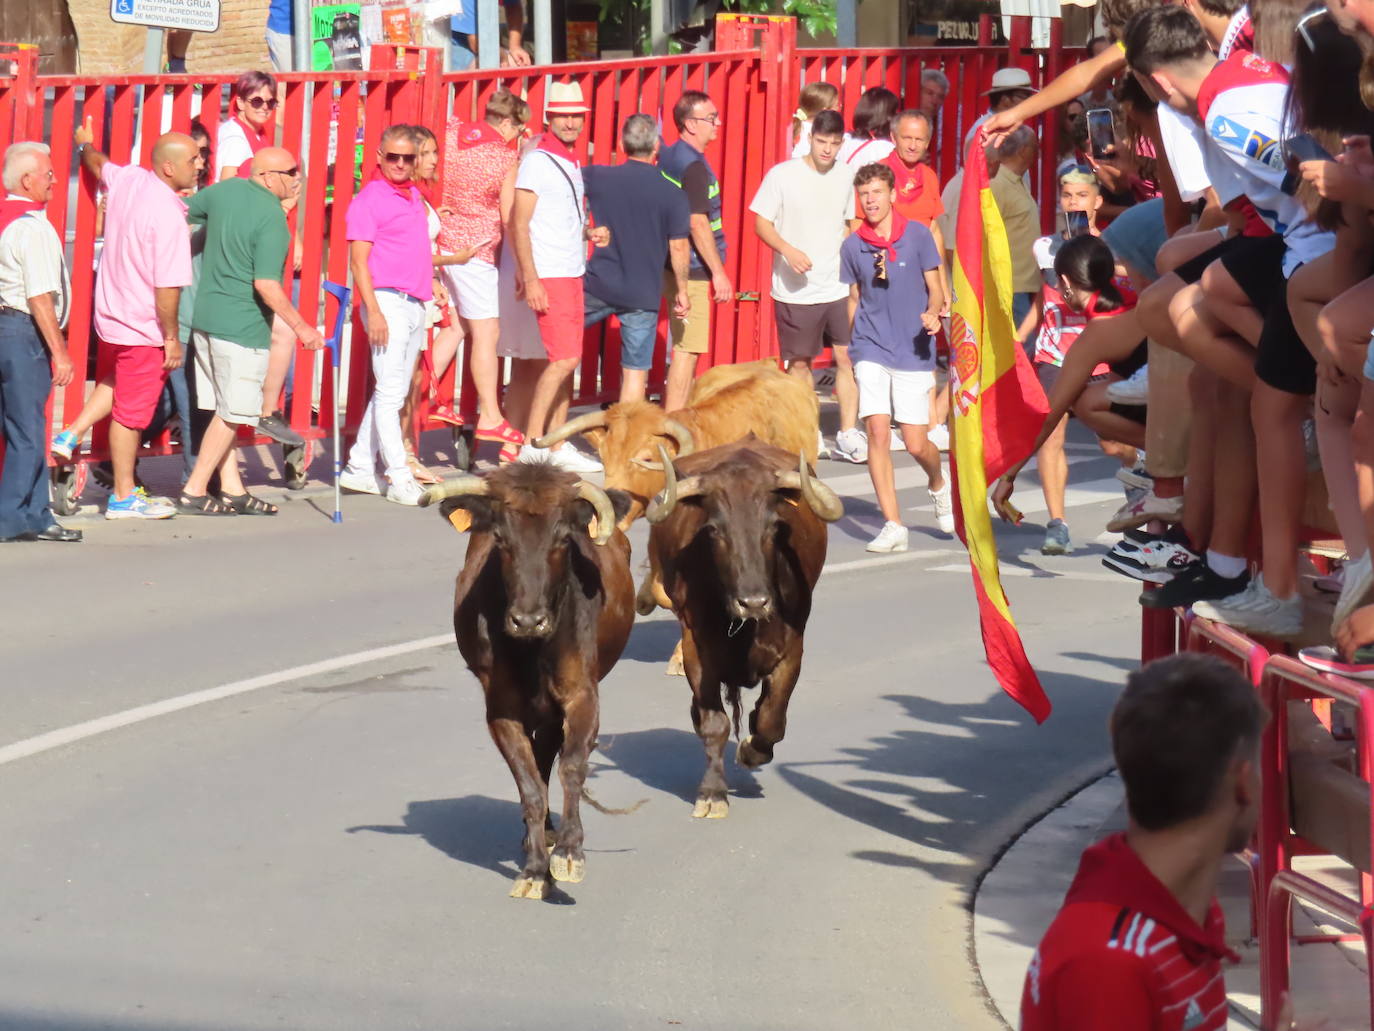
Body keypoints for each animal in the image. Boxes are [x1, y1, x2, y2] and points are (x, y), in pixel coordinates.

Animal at [420, 464, 634, 901]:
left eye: (563, 537)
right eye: (501, 537)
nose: (528, 620)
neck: (534, 650)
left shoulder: (582, 697)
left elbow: (572, 766)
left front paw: (569, 852)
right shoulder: (501, 712)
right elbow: (530, 784)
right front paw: (536, 870)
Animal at [640, 439, 835, 819]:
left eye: (773, 527)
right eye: (716, 530)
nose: (754, 601)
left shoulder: (792, 650)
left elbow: (772, 718)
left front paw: (751, 749)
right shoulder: (696, 650)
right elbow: (714, 723)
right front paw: (713, 793)